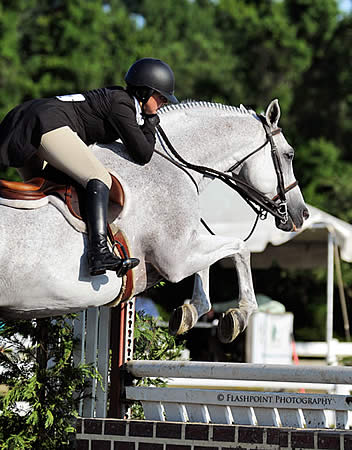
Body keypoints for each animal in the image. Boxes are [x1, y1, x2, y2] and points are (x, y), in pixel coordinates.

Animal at [0, 98, 308, 342]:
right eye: (289, 154)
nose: (301, 214)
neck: (171, 165)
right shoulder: (175, 258)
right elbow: (239, 249)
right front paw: (239, 314)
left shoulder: (178, 252)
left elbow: (211, 260)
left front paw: (189, 312)